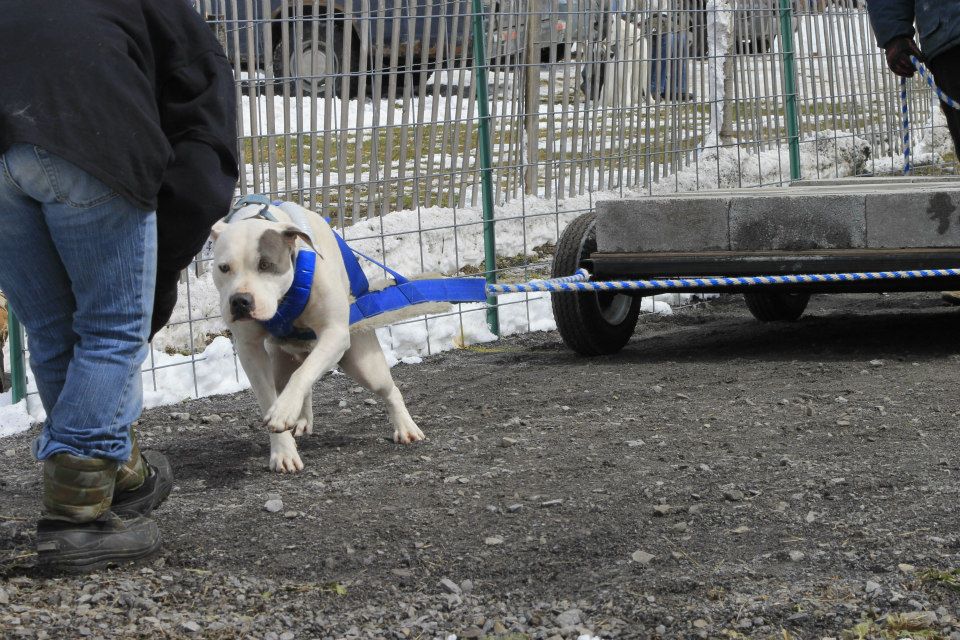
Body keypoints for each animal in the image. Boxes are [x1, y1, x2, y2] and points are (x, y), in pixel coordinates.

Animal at [216, 202, 434, 472]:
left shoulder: (334, 334)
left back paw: (406, 428)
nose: (240, 301)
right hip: (281, 364)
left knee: (389, 390)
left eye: (265, 265)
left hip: (364, 364)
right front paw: (283, 451)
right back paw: (300, 418)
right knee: (294, 380)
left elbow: (302, 375)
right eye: (224, 268)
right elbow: (270, 397)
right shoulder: (250, 350)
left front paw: (283, 411)